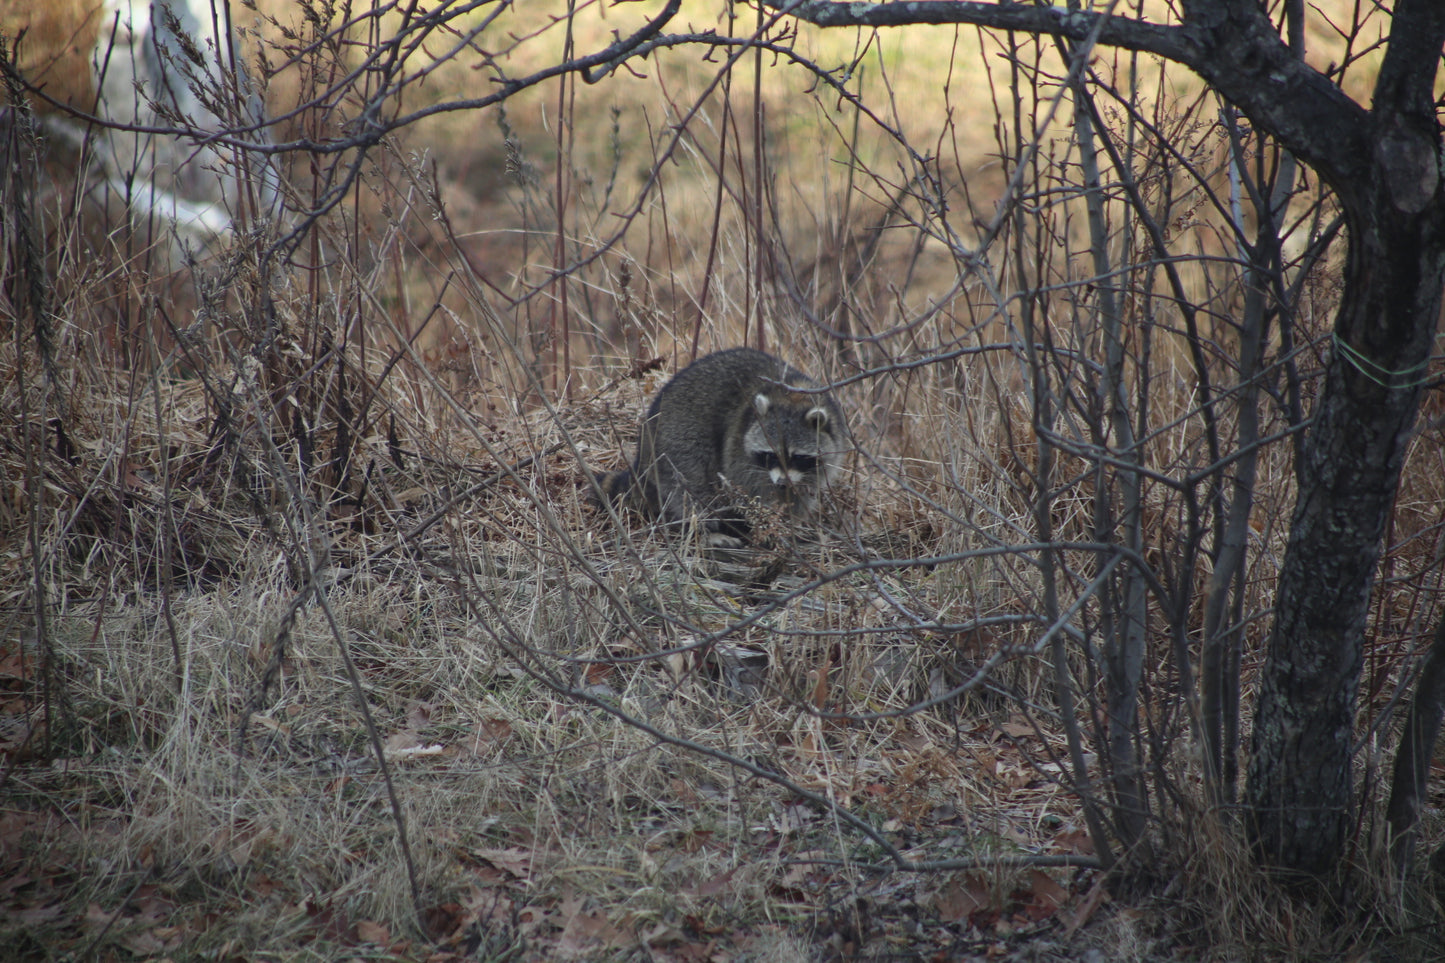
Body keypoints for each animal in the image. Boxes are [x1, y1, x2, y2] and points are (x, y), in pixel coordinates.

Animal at [597, 347, 847, 546]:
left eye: (797, 457)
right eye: (771, 455)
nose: (782, 483)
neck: (793, 395)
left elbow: (802, 492)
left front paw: (790, 523)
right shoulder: (739, 446)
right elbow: (748, 487)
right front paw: (768, 523)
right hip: (676, 438)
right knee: (692, 485)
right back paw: (705, 530)